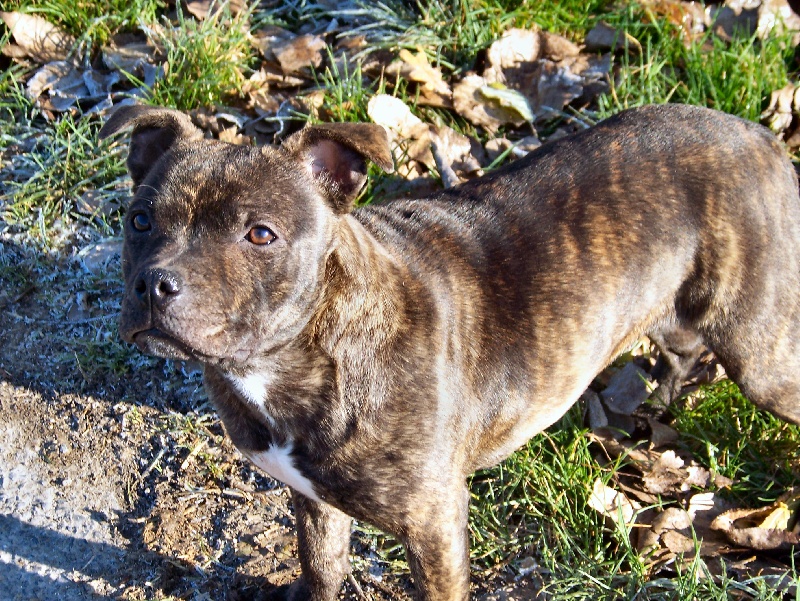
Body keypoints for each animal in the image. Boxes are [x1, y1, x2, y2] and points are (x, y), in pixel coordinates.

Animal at [98, 104, 800, 600]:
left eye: (261, 235)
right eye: (138, 221)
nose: (155, 283)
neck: (295, 358)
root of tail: (762, 138)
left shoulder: (433, 524)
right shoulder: (316, 502)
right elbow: (322, 568)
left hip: (759, 355)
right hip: (679, 307)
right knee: (681, 348)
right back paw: (655, 411)